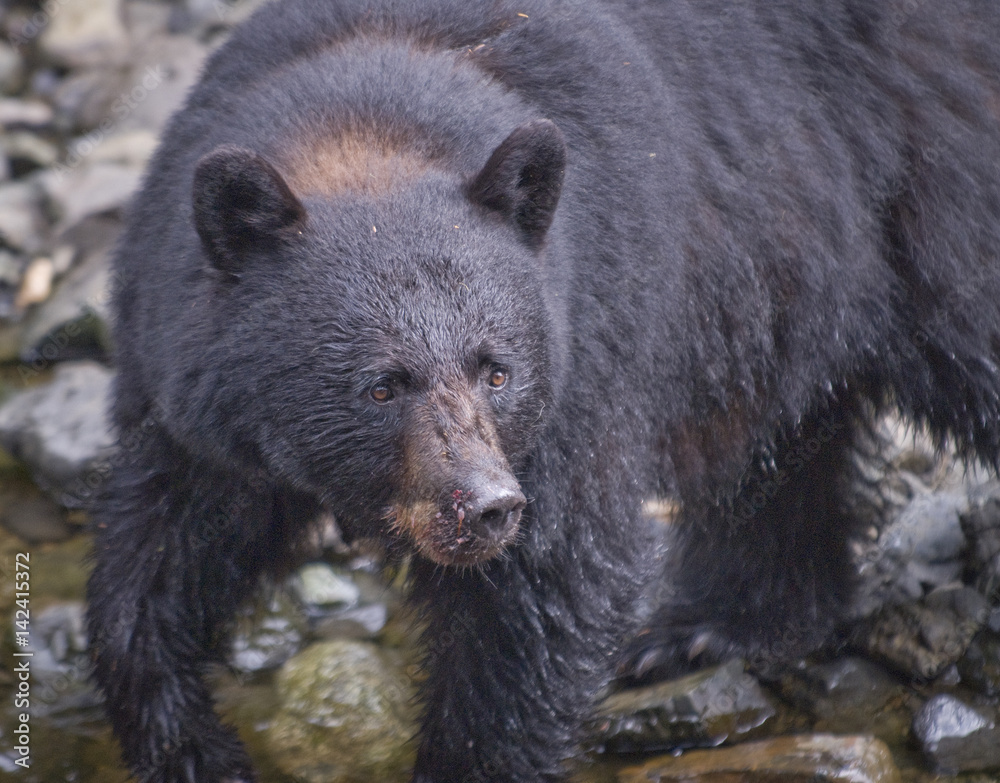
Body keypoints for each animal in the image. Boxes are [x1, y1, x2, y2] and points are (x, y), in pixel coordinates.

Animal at [88, 0, 1000, 780]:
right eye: (381, 385)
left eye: (498, 369)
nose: (486, 504)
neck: (365, 109)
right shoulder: (190, 395)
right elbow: (156, 563)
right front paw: (195, 748)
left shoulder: (584, 349)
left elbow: (546, 589)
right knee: (779, 444)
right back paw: (714, 627)